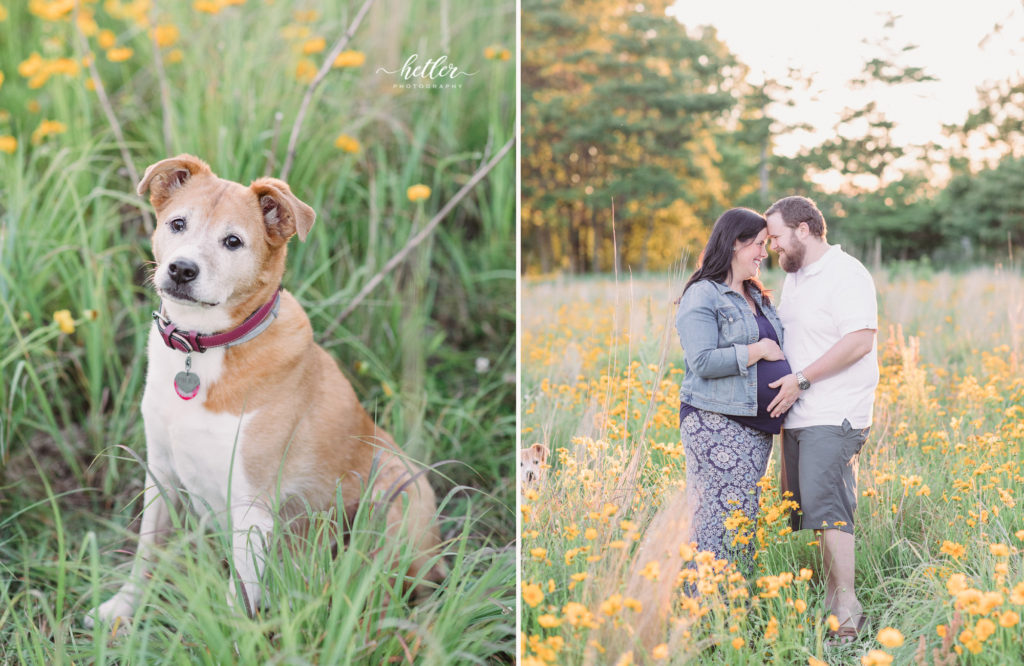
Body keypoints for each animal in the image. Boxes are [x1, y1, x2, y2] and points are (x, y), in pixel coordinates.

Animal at [84, 152, 444, 627]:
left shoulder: (251, 505)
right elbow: (146, 552)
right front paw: (122, 609)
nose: (181, 269)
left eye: (233, 242)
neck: (202, 350)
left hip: (397, 495)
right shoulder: (160, 472)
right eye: (178, 224)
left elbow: (238, 596)